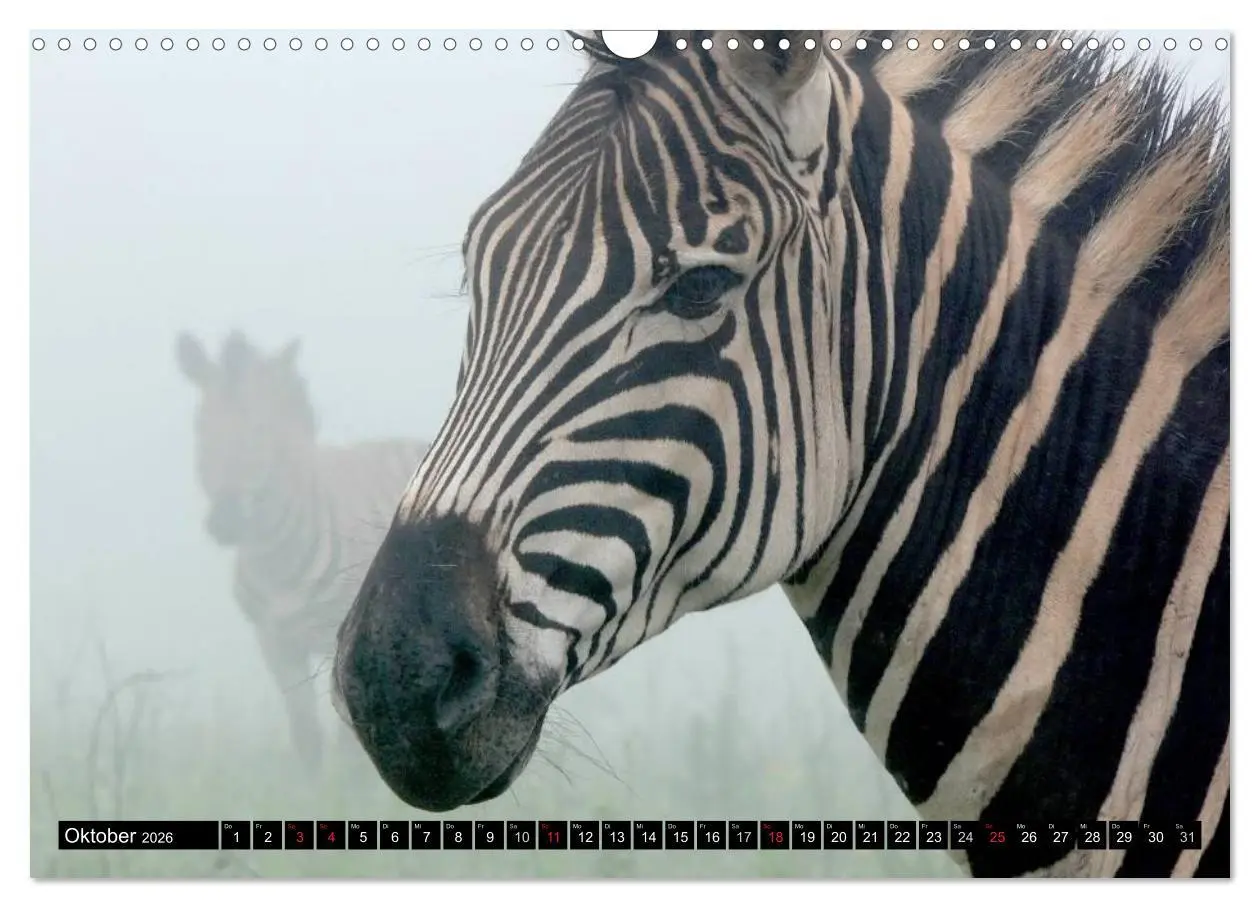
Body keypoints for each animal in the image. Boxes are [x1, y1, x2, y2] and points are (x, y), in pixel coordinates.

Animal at [177, 330, 428, 770]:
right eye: (200, 429)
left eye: (258, 431)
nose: (225, 522)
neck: (276, 560)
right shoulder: (274, 640)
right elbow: (306, 735)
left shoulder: (343, 641)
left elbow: (348, 747)